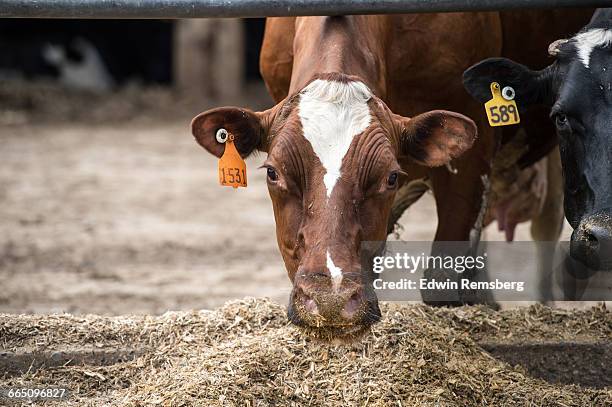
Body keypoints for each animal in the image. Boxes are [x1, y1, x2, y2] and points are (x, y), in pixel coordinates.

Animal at [194, 11, 592, 340]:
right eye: (273, 174)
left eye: (389, 177)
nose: (331, 301)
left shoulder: (472, 152)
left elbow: (443, 280)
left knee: (546, 224)